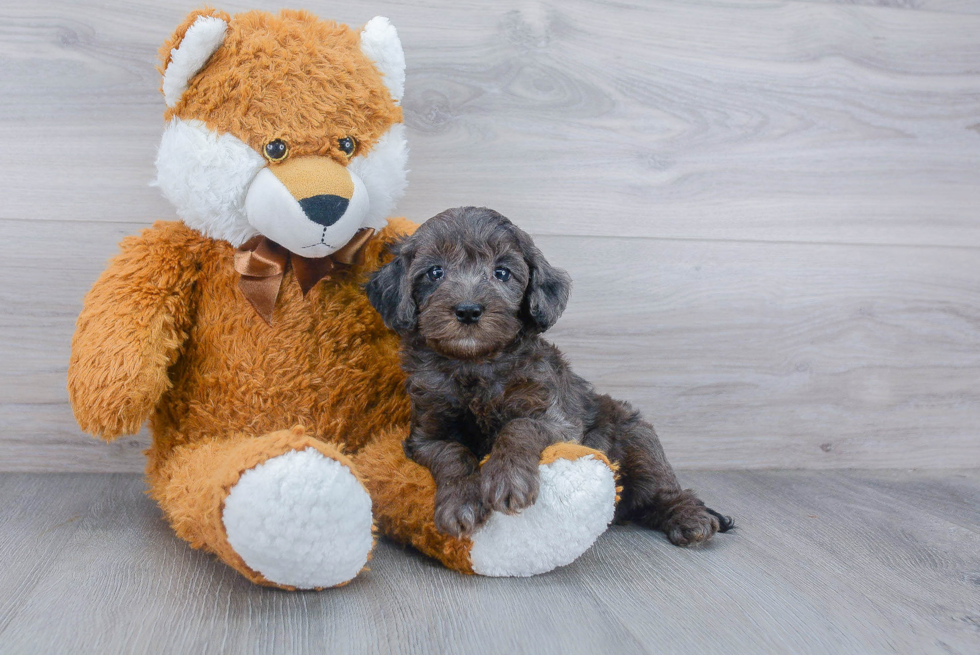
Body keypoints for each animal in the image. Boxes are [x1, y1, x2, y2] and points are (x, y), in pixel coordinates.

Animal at [368, 208, 736, 544]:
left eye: (502, 273)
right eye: (435, 272)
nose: (468, 311)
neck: (475, 362)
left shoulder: (556, 420)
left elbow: (519, 427)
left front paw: (507, 479)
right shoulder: (427, 434)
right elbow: (453, 454)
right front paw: (462, 503)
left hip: (638, 440)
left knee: (664, 491)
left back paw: (688, 517)